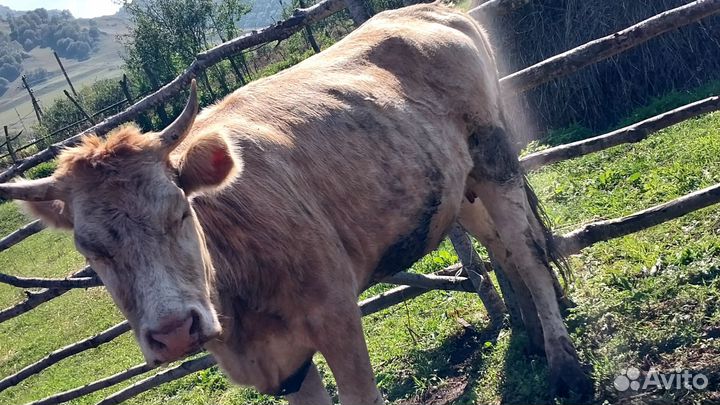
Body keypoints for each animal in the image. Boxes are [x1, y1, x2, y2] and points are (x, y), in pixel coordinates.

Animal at [0, 4, 592, 404]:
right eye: (91, 250)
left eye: (180, 211)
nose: (174, 332)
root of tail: (428, 11)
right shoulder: (284, 367)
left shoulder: (336, 315)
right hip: (457, 184)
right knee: (502, 247)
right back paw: (532, 339)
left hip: (494, 156)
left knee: (528, 250)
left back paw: (565, 367)